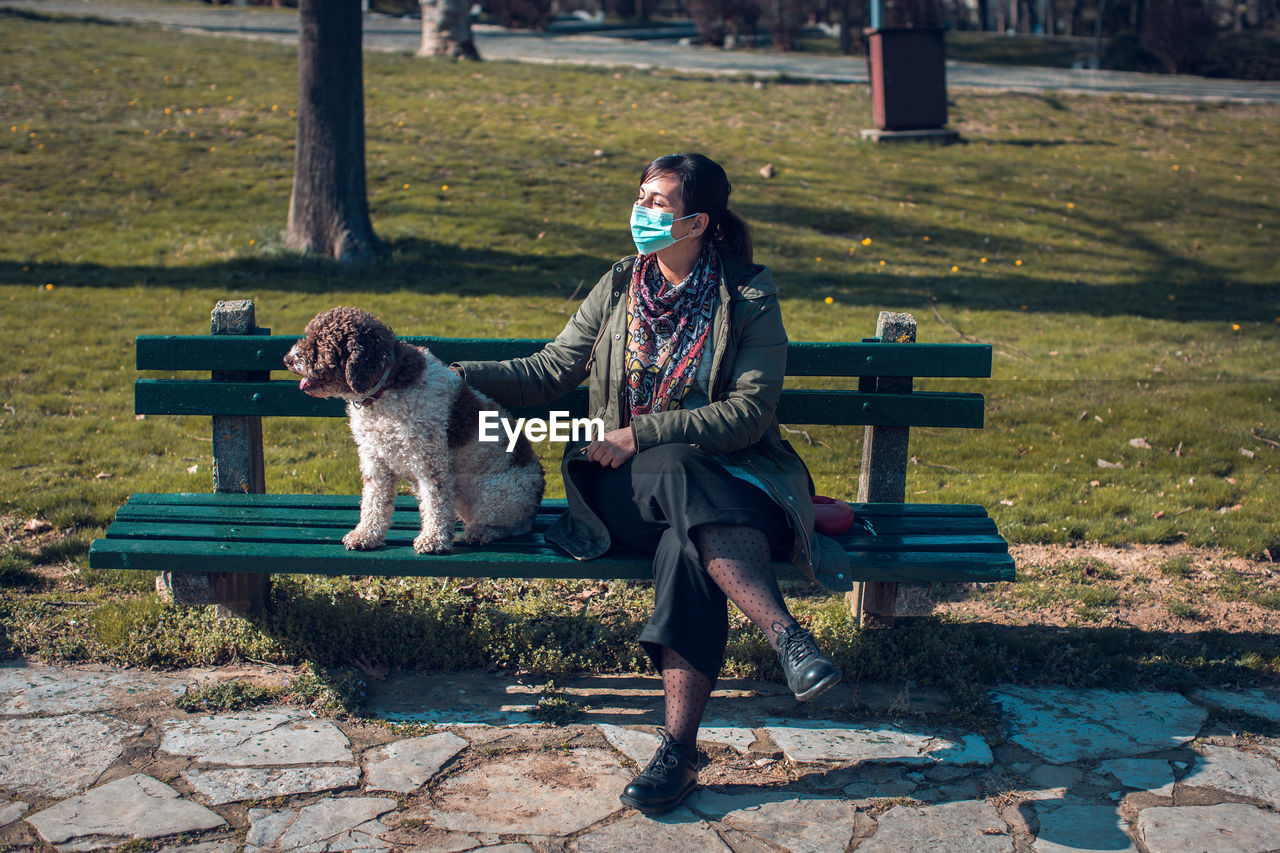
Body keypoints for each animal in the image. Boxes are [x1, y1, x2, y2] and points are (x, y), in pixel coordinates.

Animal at [285, 306, 545, 550]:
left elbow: (435, 500)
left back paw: (482, 531)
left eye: (320, 343)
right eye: (309, 336)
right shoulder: (375, 460)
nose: (287, 359)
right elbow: (373, 502)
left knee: (515, 524)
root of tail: (538, 488)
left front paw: (433, 539)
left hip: (496, 495)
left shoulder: (430, 460)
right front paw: (366, 534)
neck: (383, 392)